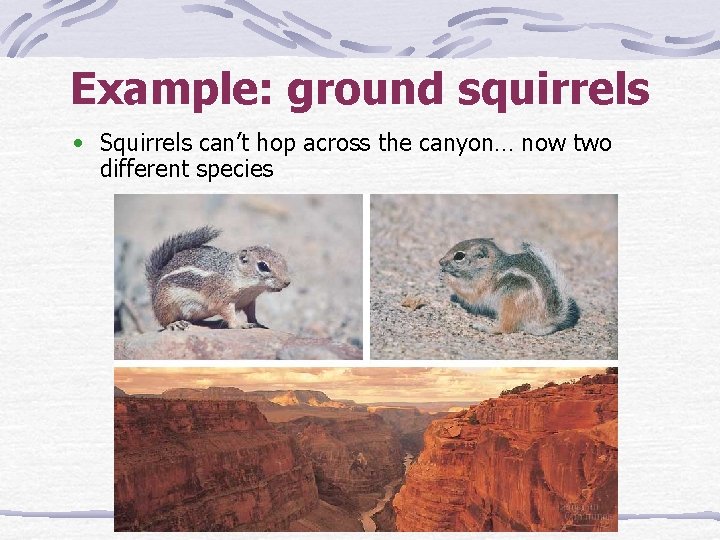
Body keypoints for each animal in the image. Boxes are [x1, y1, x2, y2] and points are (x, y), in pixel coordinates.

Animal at [145, 226, 291, 331]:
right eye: (263, 266)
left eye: (281, 257)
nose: (287, 282)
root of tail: (155, 282)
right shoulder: (222, 298)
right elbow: (228, 314)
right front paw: (241, 324)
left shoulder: (249, 301)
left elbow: (251, 314)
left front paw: (258, 323)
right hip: (165, 303)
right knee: (164, 321)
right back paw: (175, 324)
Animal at [439, 238, 578, 336]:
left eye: (459, 256)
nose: (440, 261)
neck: (490, 266)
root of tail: (546, 319)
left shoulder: (480, 285)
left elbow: (470, 294)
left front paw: (446, 277)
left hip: (509, 305)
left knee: (505, 328)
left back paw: (485, 327)